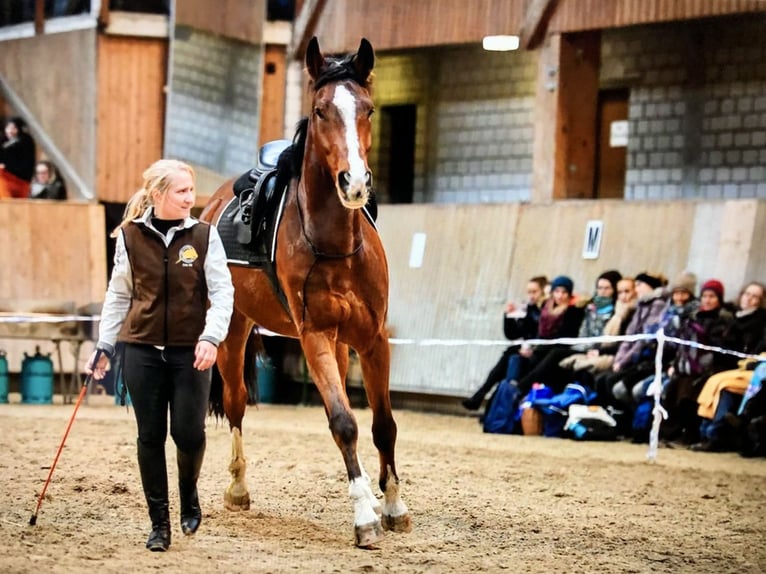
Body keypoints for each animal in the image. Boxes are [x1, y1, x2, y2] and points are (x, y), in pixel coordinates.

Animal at [201, 37, 412, 548]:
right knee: (236, 402)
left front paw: (392, 504)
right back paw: (238, 488)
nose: (354, 182)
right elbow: (344, 423)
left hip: (338, 344)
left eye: (369, 109)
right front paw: (364, 517)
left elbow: (383, 425)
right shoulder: (313, 335)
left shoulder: (372, 340)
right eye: (320, 110)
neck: (336, 245)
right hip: (233, 334)